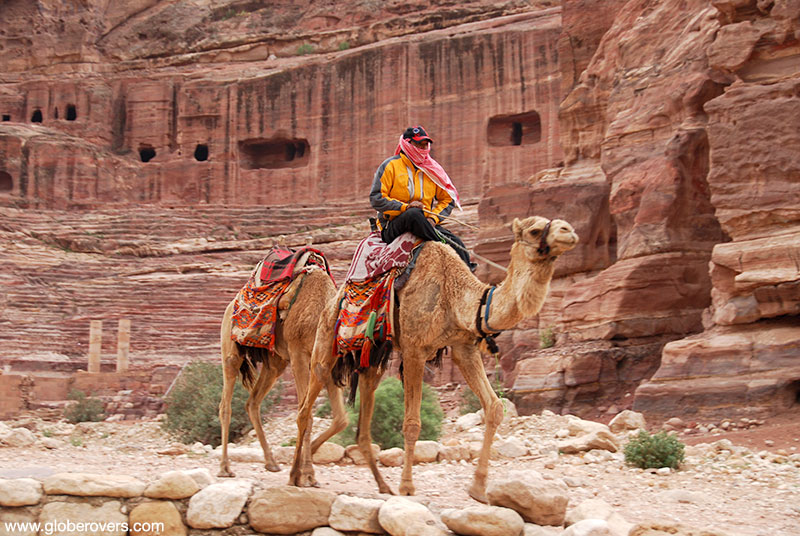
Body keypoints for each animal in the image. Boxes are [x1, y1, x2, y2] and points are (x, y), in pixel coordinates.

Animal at [218, 265, 336, 477]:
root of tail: (231, 305)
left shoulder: (325, 364)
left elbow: (340, 419)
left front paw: (307, 462)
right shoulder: (299, 355)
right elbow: (306, 414)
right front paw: (307, 473)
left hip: (275, 362)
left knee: (252, 402)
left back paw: (271, 462)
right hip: (231, 351)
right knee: (226, 403)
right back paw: (224, 467)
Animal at [289, 215, 578, 502]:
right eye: (535, 230)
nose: (570, 232)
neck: (456, 295)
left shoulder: (464, 348)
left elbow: (494, 407)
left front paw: (478, 488)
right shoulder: (415, 350)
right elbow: (412, 423)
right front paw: (407, 486)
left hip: (372, 361)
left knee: (362, 423)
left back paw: (381, 486)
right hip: (325, 343)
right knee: (305, 409)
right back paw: (296, 477)